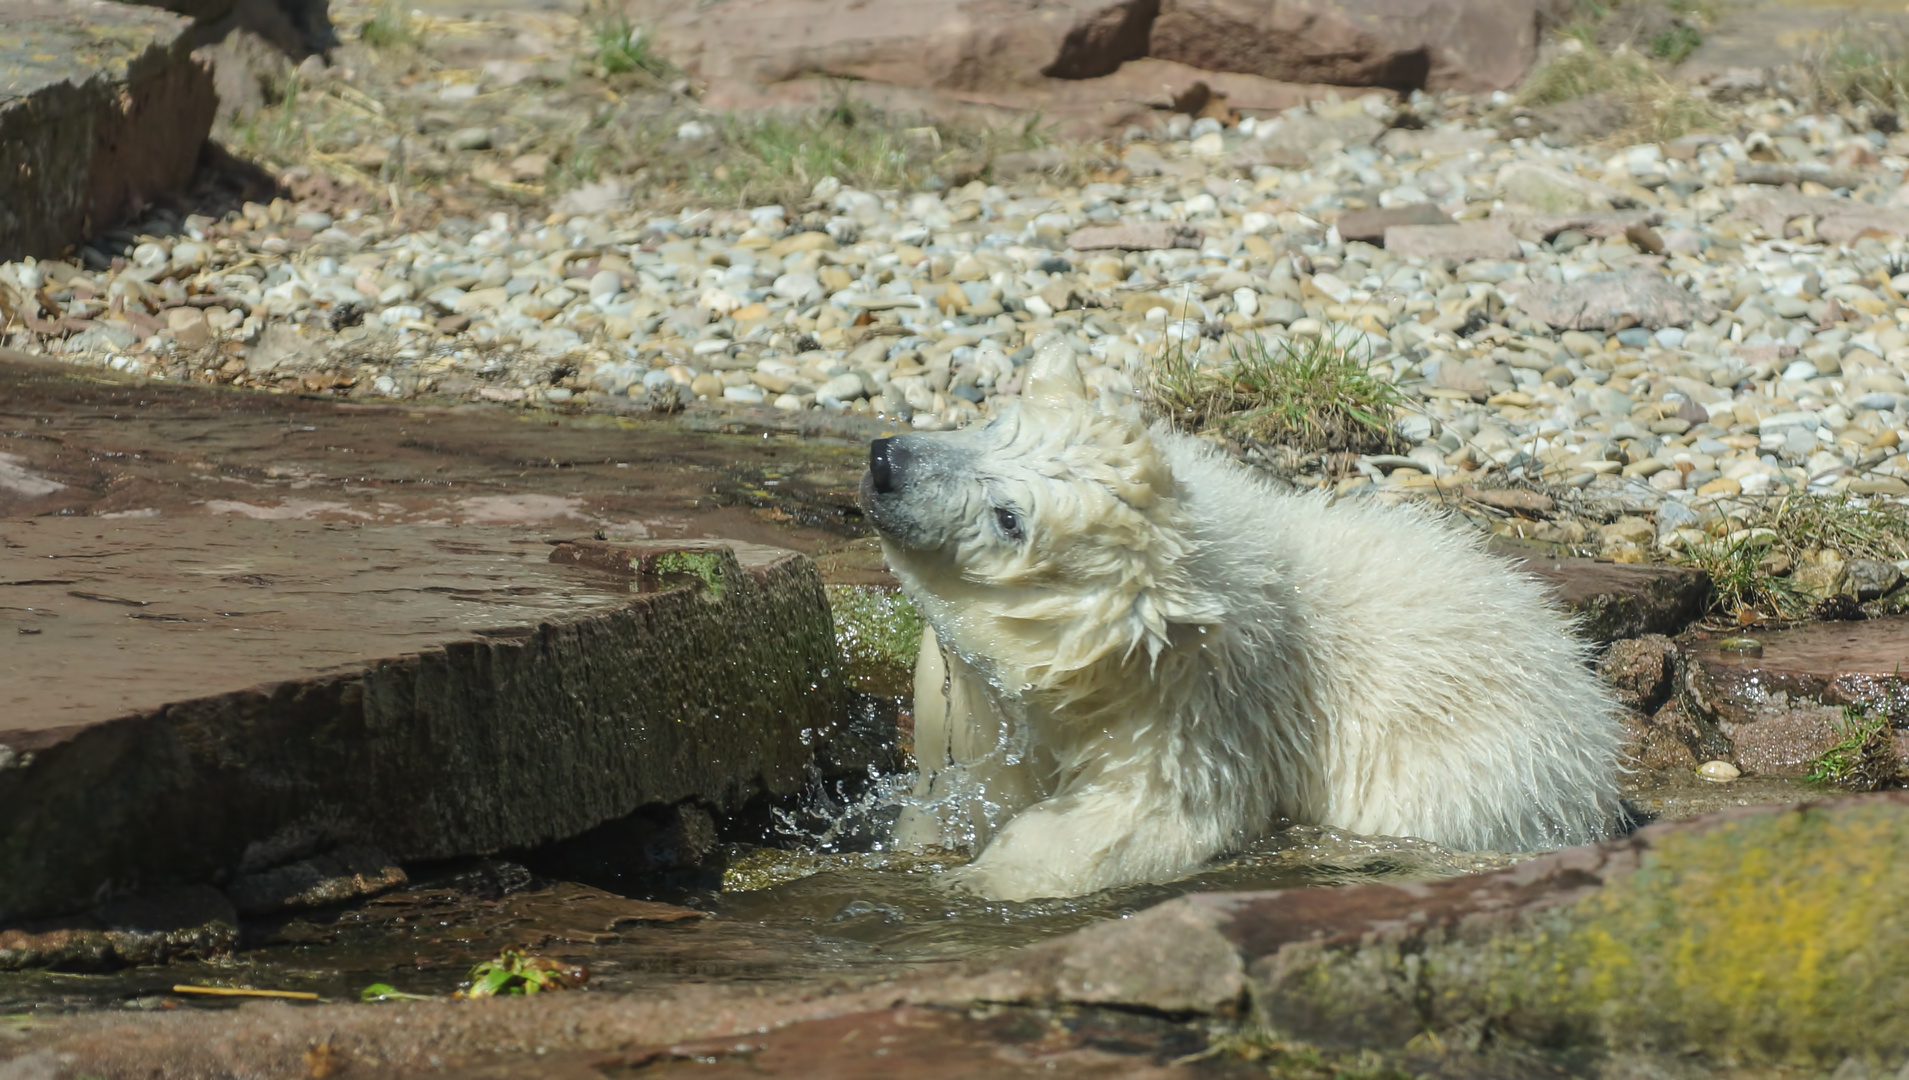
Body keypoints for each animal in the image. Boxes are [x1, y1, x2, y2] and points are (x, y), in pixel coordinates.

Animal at [866, 347, 1626, 904]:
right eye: (991, 426)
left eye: (1009, 518)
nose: (886, 463)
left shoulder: (1203, 718)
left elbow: (1134, 821)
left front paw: (976, 879)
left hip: (1475, 780)